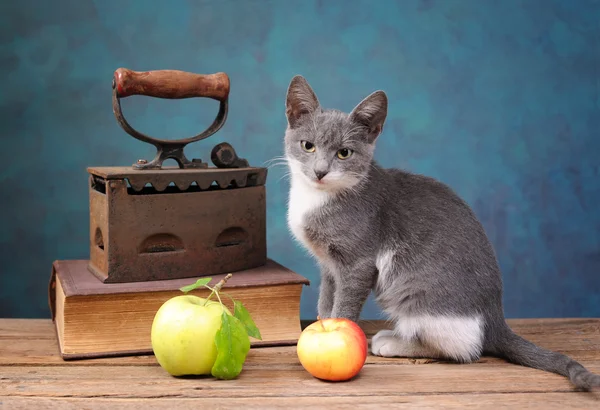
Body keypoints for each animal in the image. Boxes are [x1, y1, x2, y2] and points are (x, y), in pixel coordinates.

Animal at [282, 74, 600, 390]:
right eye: (308, 146)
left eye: (344, 153)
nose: (320, 171)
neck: (317, 199)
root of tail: (495, 316)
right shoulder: (328, 265)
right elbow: (326, 299)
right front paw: (322, 321)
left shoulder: (358, 263)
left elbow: (344, 305)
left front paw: (338, 327)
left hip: (418, 294)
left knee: (464, 349)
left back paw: (392, 341)